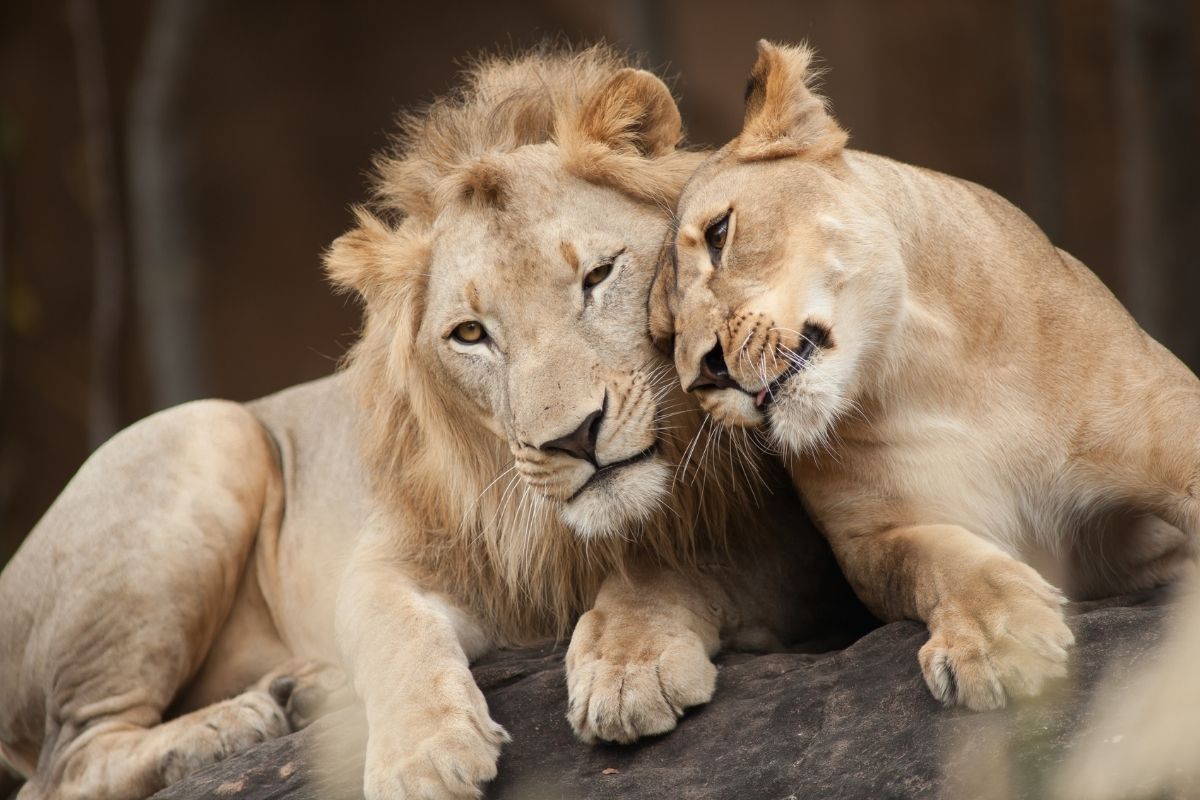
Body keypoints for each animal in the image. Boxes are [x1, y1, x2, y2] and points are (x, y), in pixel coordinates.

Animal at [0, 46, 827, 800]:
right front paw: (422, 756)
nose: (573, 439)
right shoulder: (394, 553)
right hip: (210, 434)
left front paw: (631, 665)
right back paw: (238, 722)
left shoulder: (788, 539)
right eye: (471, 334)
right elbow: (393, 633)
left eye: (598, 276)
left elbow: (679, 564)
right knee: (64, 765)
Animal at [651, 40, 1200, 711]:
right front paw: (997, 639)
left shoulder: (1176, 438)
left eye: (719, 233)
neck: (919, 367)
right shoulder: (877, 537)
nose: (702, 376)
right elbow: (938, 561)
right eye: (663, 337)